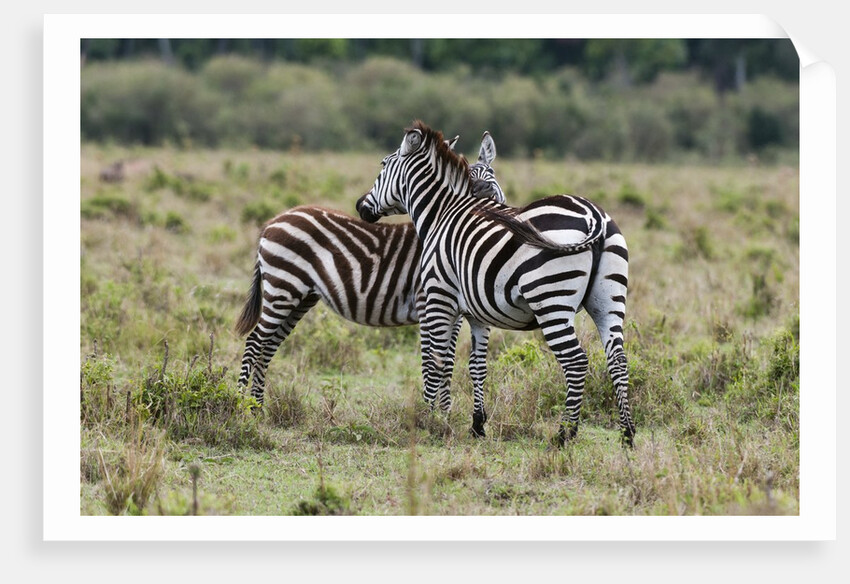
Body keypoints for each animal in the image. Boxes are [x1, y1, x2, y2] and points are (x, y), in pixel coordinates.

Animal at [235, 132, 505, 408]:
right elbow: (433, 361)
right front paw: (430, 412)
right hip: (282, 288)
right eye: (467, 176)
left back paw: (256, 408)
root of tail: (273, 221)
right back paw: (238, 406)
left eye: (491, 172)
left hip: (299, 297)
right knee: (255, 343)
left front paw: (444, 411)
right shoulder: (428, 304)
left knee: (268, 347)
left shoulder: (454, 312)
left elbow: (448, 362)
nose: (484, 192)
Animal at [356, 121, 636, 447]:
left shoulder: (438, 298)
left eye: (382, 165)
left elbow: (435, 360)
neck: (441, 214)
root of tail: (594, 214)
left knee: (576, 362)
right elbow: (475, 365)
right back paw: (627, 434)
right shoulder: (476, 312)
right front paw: (475, 424)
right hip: (608, 302)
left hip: (551, 302)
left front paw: (428, 420)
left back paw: (565, 434)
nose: (360, 207)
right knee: (618, 359)